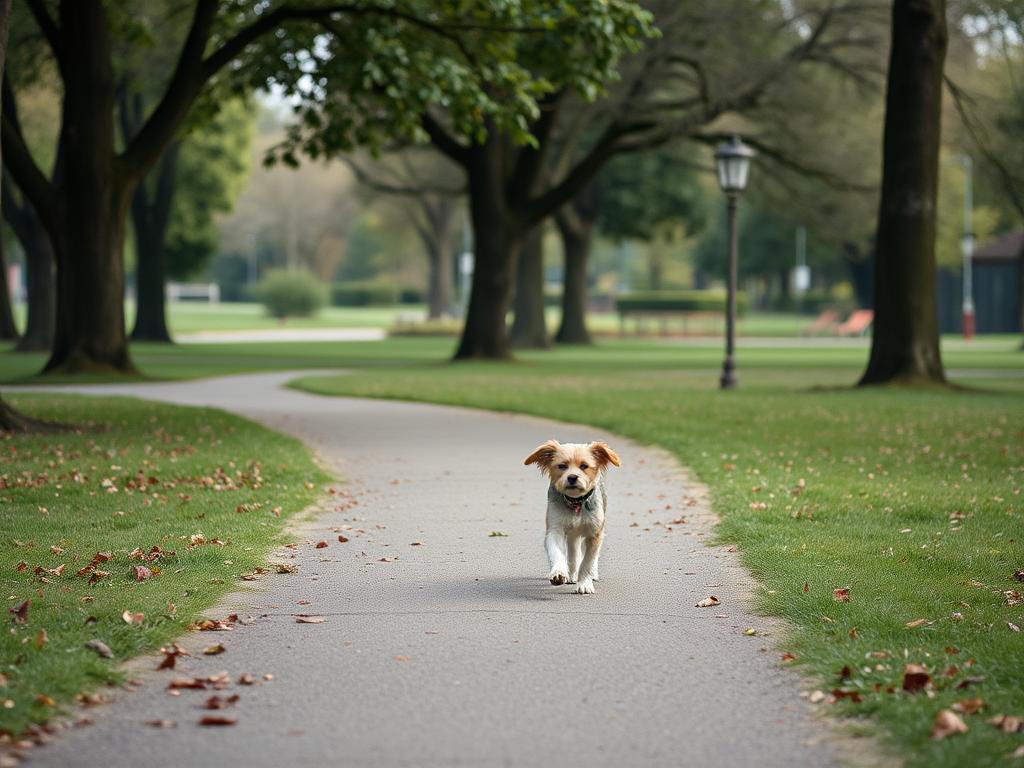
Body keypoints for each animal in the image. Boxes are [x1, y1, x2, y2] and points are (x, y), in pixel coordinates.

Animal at [524, 438, 618, 593]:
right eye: (562, 466)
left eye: (584, 466)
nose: (572, 477)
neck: (576, 503)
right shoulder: (555, 529)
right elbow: (557, 553)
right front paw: (559, 573)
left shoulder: (594, 532)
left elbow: (587, 561)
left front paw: (584, 584)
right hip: (572, 534)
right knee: (573, 554)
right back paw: (571, 574)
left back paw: (592, 574)